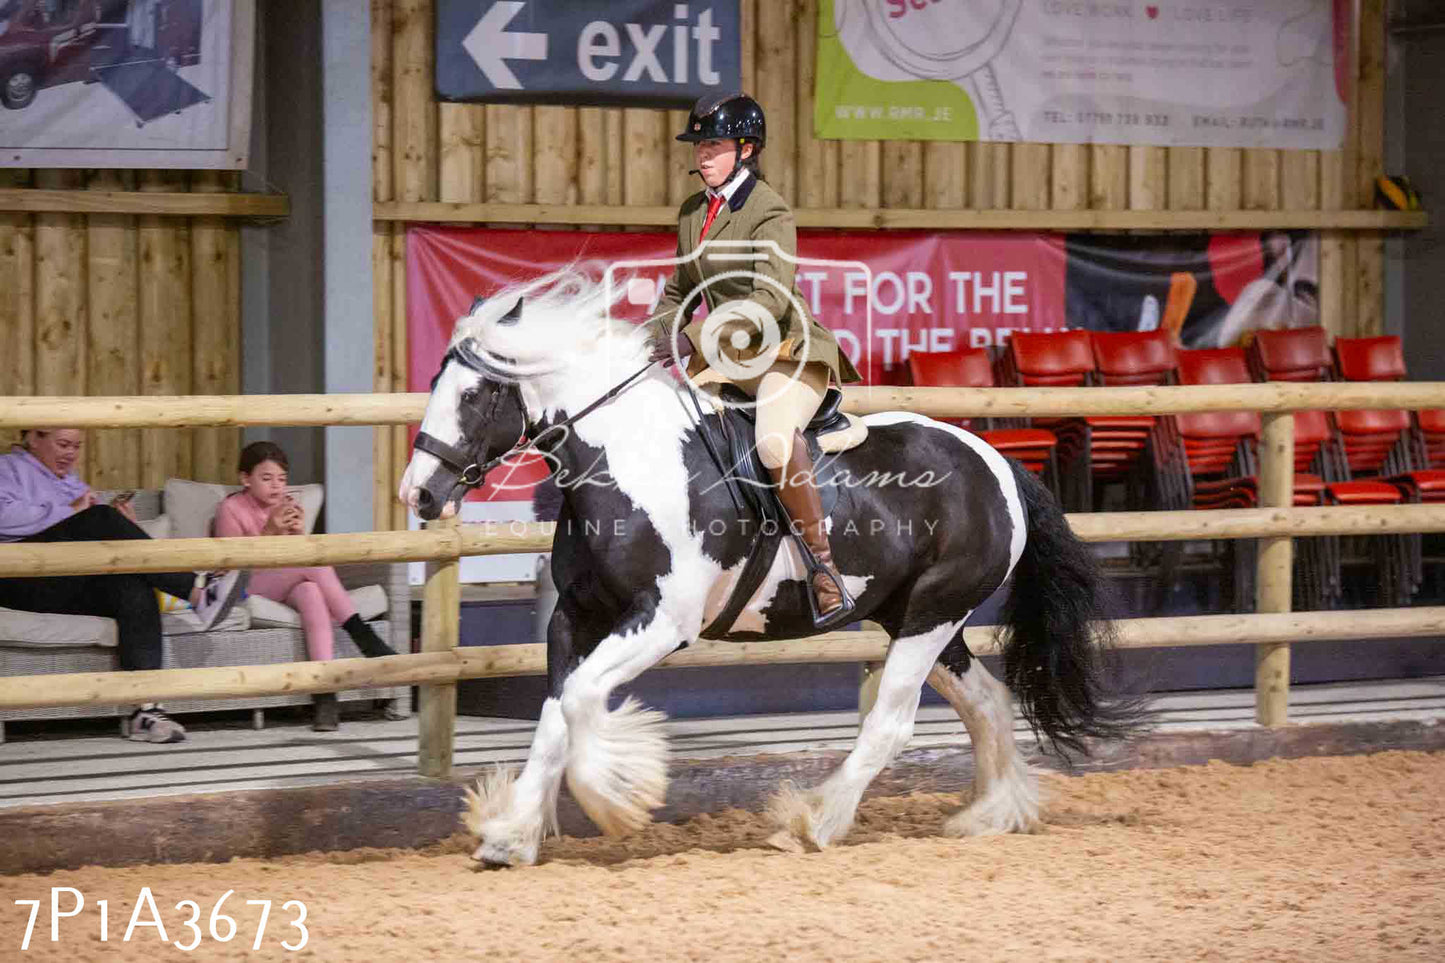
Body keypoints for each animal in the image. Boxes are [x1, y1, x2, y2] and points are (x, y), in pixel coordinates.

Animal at [401, 267, 1144, 861]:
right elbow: (557, 713)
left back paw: (814, 820)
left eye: (474, 394)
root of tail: (998, 463)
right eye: (436, 380)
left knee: (890, 723)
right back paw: (989, 814)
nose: (420, 494)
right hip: (918, 617)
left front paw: (618, 794)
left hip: (931, 616)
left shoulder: (662, 622)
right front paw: (511, 834)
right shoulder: (579, 617)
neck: (625, 458)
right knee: (987, 703)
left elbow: (582, 699)